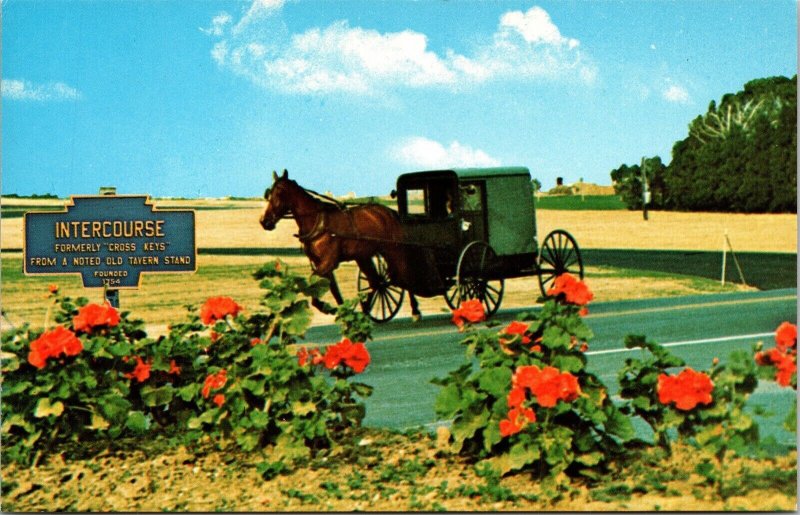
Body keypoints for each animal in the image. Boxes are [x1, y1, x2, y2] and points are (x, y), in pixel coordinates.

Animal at [260, 171, 424, 320]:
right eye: (269, 193)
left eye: (280, 192)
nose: (264, 221)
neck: (319, 221)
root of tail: (391, 212)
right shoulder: (321, 263)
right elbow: (332, 289)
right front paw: (342, 310)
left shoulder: (328, 262)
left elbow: (313, 284)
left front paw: (328, 307)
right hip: (363, 256)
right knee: (376, 281)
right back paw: (366, 311)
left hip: (394, 251)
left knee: (404, 276)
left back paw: (415, 310)